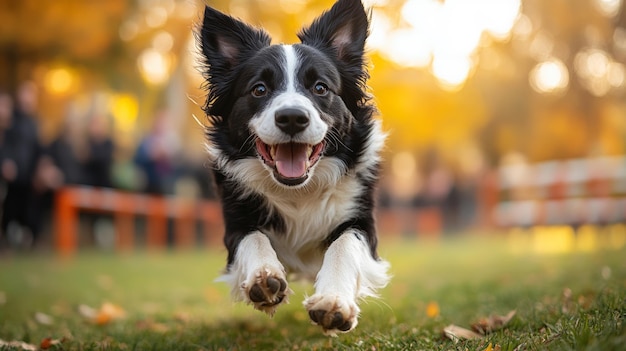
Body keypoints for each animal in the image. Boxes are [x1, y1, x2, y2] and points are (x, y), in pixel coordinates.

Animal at [197, 0, 388, 336]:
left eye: (320, 88)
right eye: (259, 89)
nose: (292, 118)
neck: (299, 190)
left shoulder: (362, 220)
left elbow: (344, 245)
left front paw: (333, 302)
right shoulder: (236, 224)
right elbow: (253, 238)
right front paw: (264, 277)